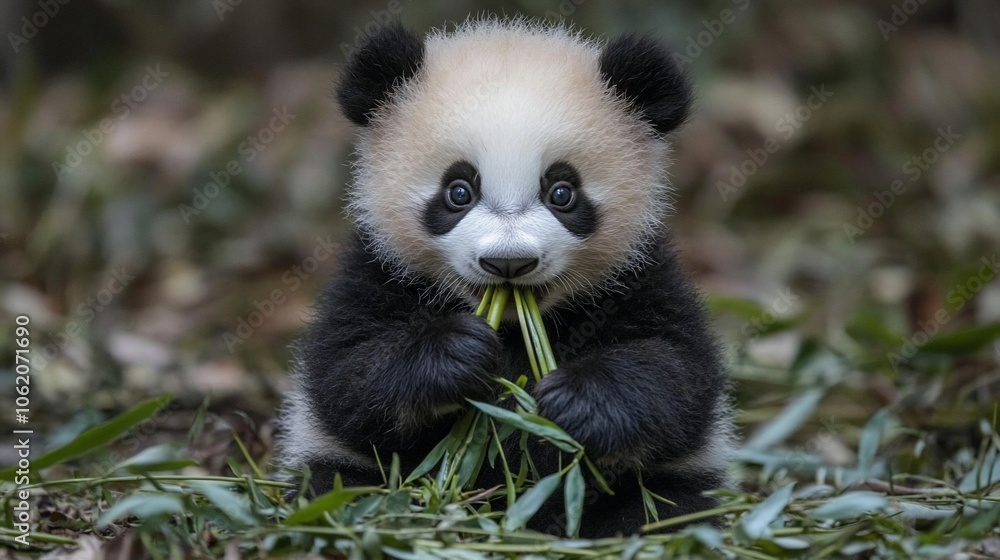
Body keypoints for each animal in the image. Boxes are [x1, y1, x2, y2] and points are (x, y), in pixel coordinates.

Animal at [278, 18, 735, 538]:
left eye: (562, 192)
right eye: (458, 191)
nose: (509, 263)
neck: (517, 326)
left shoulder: (640, 275)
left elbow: (677, 373)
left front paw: (575, 399)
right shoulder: (378, 270)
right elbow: (347, 375)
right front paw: (456, 353)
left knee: (667, 511)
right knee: (335, 492)